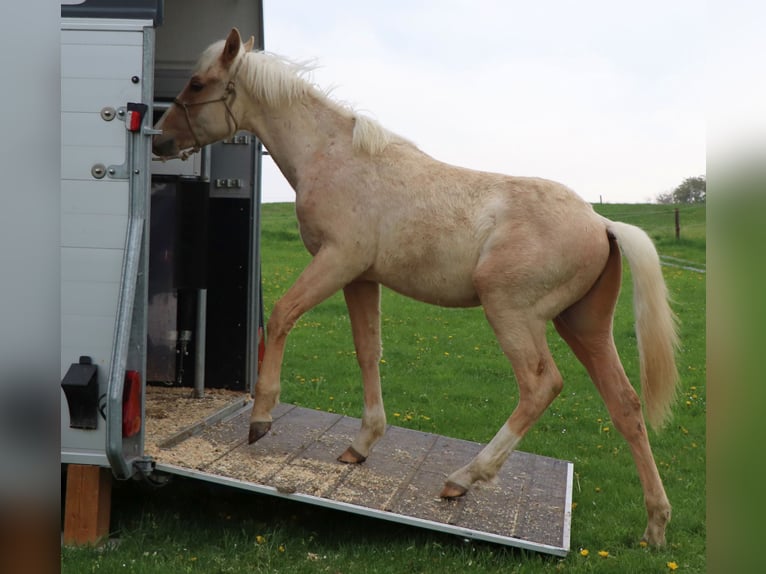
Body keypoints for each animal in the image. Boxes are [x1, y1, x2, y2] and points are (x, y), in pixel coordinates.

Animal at [153, 28, 679, 547]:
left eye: (197, 84)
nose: (160, 138)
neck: (334, 155)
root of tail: (601, 223)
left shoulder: (337, 262)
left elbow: (283, 314)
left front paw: (260, 419)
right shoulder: (361, 278)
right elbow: (367, 350)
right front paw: (361, 444)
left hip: (512, 313)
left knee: (540, 386)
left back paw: (463, 478)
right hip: (584, 327)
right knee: (626, 406)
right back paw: (655, 526)